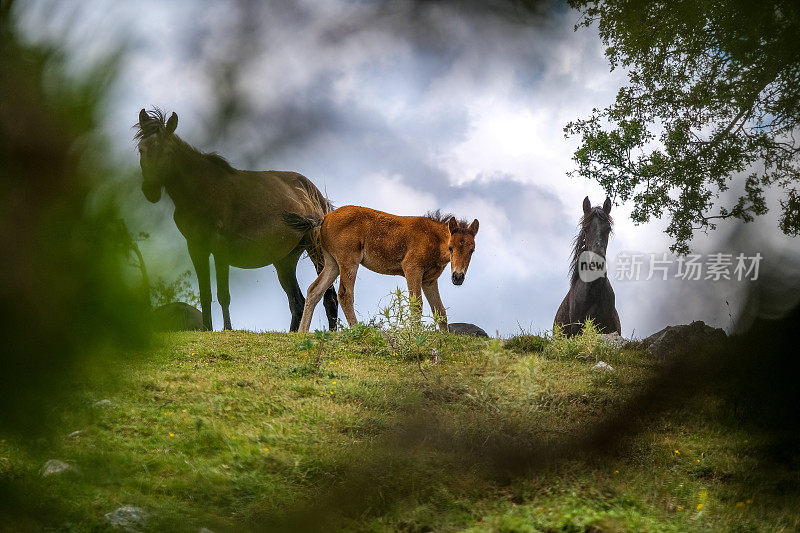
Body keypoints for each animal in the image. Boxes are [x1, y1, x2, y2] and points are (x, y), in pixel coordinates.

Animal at [136, 108, 336, 330]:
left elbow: (223, 294)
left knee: (328, 297)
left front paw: (227, 329)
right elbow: (205, 294)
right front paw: (207, 329)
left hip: (315, 248)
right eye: (141, 149)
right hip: (285, 260)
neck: (201, 191)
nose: (151, 191)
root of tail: (315, 193)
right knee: (297, 302)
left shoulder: (220, 246)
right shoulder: (195, 246)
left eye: (168, 152)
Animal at [284, 206, 478, 330]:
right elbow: (416, 305)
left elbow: (440, 310)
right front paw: (416, 335)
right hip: (349, 261)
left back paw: (302, 332)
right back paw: (358, 330)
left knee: (314, 290)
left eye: (472, 250)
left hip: (332, 263)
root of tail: (325, 218)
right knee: (345, 294)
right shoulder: (412, 269)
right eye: (451, 247)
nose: (458, 277)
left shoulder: (429, 280)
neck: (433, 239)